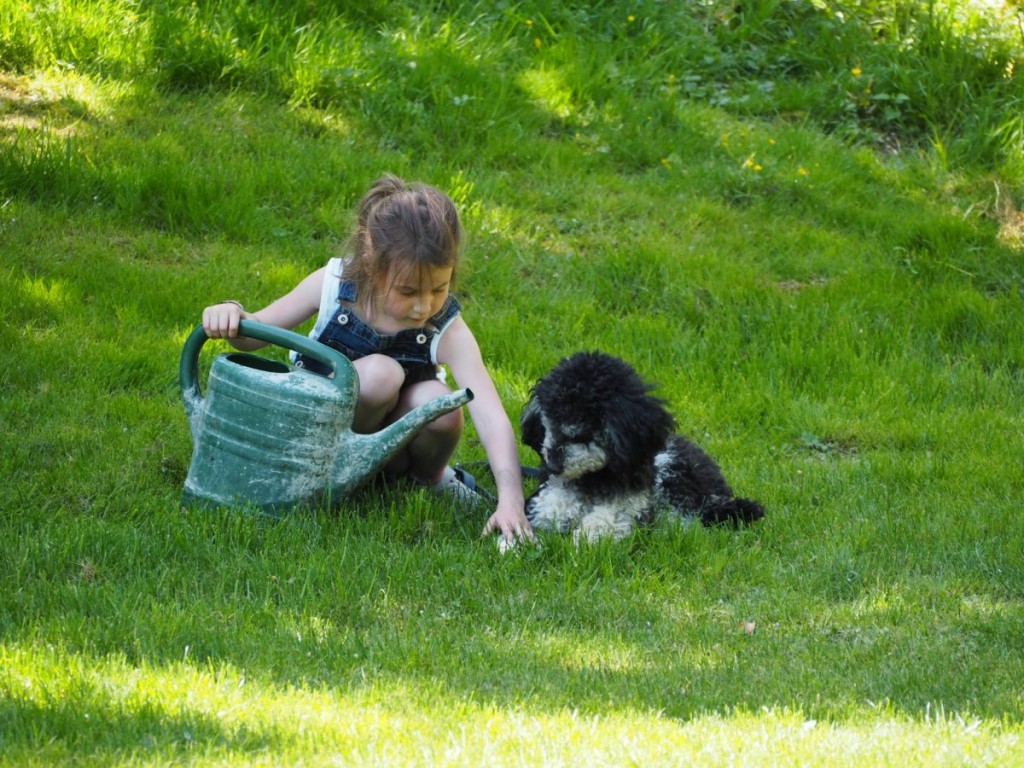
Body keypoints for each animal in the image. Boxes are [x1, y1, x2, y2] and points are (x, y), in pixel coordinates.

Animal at [524, 354, 765, 540]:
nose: (553, 467)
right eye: (547, 423)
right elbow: (549, 510)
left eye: (582, 434)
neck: (593, 479)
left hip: (673, 470)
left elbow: (606, 520)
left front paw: (585, 539)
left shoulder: (631, 499)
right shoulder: (552, 495)